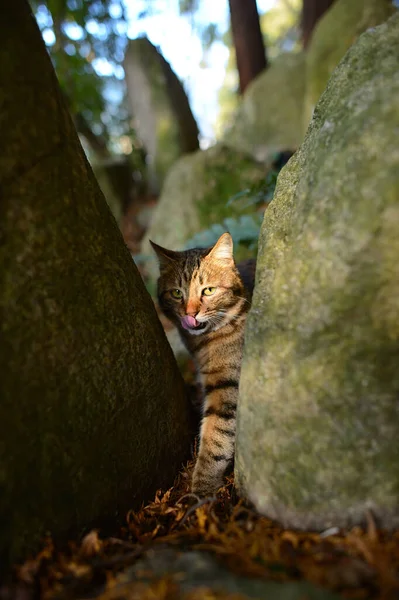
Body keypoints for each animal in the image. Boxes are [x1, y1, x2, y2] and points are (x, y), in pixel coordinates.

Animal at [150, 232, 256, 494]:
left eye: (208, 291)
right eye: (177, 293)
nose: (190, 314)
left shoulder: (227, 385)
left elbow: (215, 436)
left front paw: (201, 489)